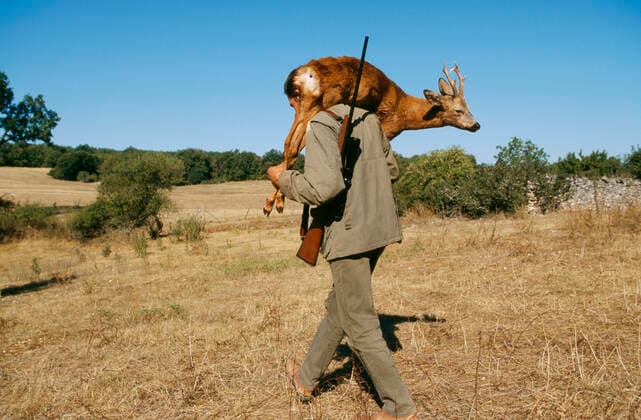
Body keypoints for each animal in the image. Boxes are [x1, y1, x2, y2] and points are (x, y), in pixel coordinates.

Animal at [263, 56, 480, 215]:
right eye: (459, 110)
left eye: (469, 107)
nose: (476, 125)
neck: (403, 110)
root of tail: (301, 74)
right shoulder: (386, 127)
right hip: (319, 102)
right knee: (293, 146)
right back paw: (276, 202)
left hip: (300, 104)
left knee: (288, 145)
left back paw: (273, 202)